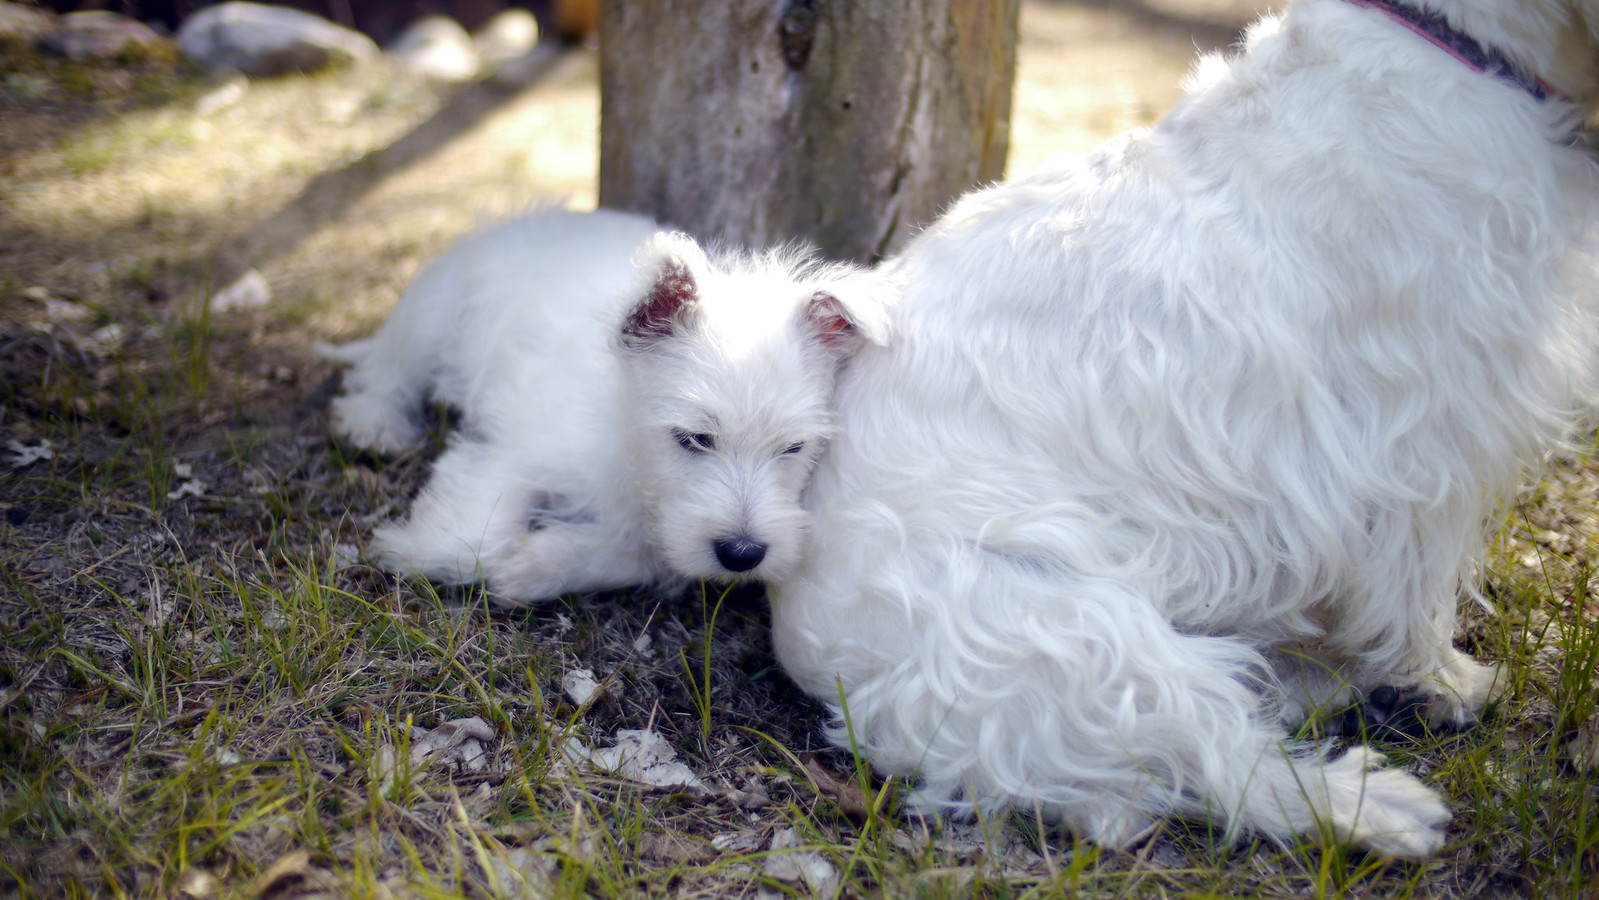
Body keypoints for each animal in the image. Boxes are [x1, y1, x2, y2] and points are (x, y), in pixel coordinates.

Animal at [318, 211, 882, 601]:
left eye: (794, 447)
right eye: (693, 438)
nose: (743, 554)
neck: (626, 447)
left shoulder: (663, 537)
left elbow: (644, 554)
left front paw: (531, 564)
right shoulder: (510, 448)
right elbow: (472, 540)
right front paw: (411, 547)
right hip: (430, 318)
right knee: (387, 371)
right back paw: (375, 425)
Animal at [767, 0, 1599, 856]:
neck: (1458, 46)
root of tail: (809, 646)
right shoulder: (1427, 428)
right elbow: (1415, 588)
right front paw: (1442, 682)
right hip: (1083, 634)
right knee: (1227, 761)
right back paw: (1381, 807)